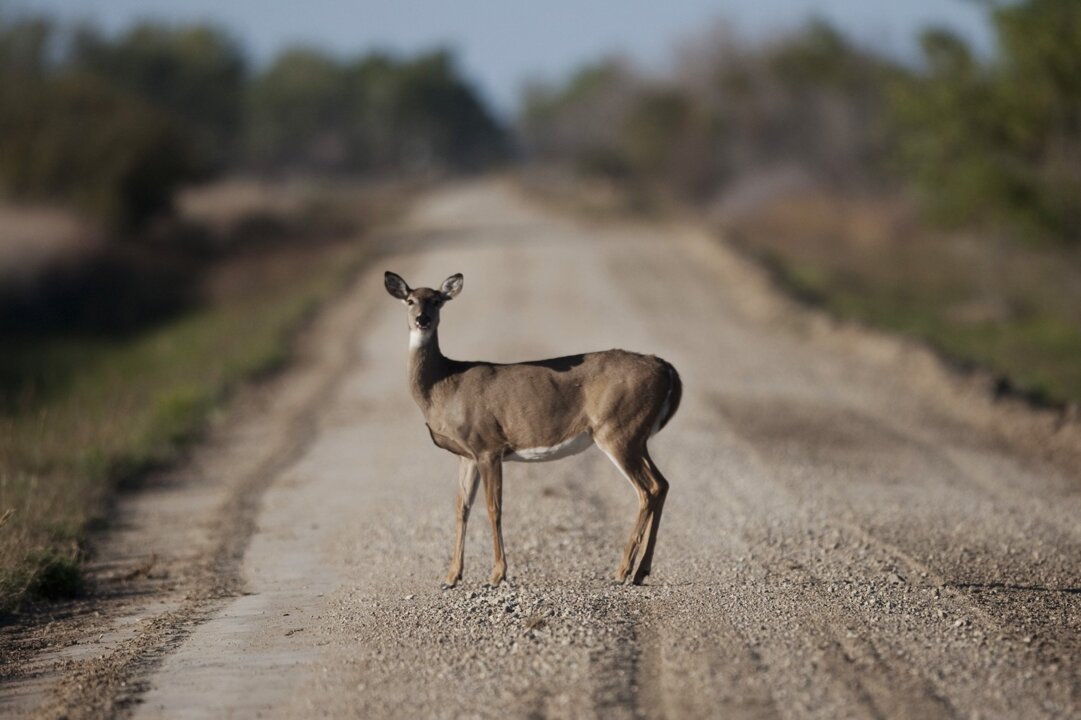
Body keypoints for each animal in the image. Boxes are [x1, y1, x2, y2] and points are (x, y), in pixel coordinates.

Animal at [384, 271, 681, 587]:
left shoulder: (488, 445)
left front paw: (497, 574)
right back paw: (641, 570)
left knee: (647, 489)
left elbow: (494, 507)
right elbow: (461, 507)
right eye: (410, 300)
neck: (443, 385)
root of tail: (667, 368)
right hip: (637, 436)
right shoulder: (467, 455)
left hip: (617, 429)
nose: (422, 319)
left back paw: (622, 570)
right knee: (662, 484)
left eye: (437, 300)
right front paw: (451, 576)